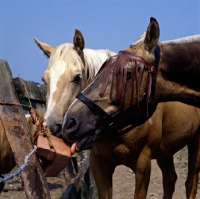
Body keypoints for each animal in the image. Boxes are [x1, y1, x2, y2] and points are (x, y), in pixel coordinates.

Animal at [61, 17, 200, 198]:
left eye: (127, 73)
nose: (69, 122)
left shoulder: (143, 163)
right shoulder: (99, 165)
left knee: (190, 182)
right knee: (170, 179)